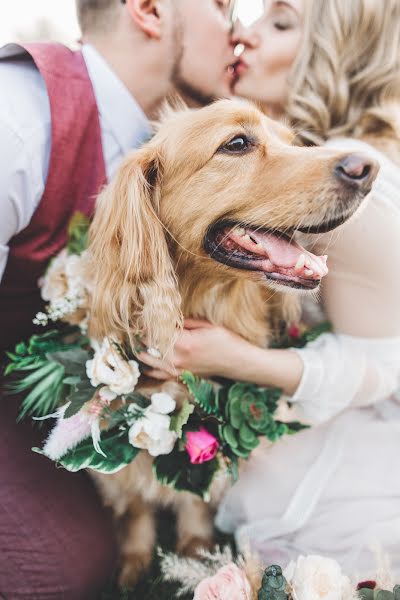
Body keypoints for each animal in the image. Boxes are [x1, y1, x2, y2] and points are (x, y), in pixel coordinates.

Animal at [85, 99, 378, 584]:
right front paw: (135, 567)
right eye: (237, 143)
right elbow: (136, 505)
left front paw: (195, 555)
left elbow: (195, 504)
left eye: (294, 140)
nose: (368, 167)